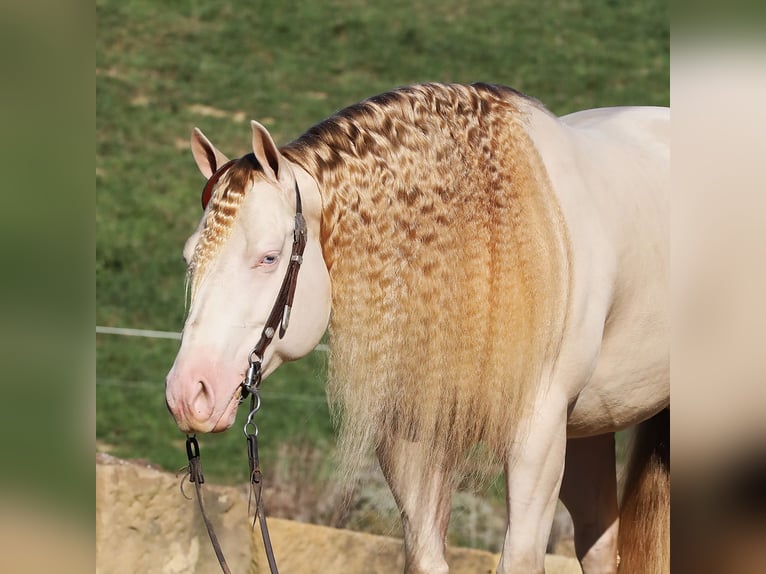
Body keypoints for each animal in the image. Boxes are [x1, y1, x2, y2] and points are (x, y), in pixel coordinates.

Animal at [165, 84, 668, 574]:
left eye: (269, 257)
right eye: (189, 257)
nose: (188, 393)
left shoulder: (537, 435)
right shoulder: (411, 435)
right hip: (588, 428)